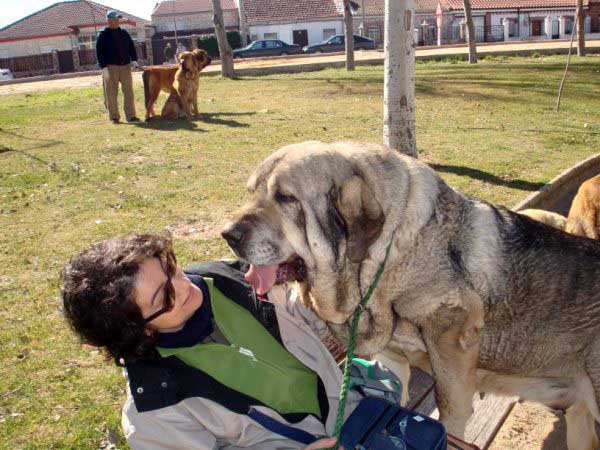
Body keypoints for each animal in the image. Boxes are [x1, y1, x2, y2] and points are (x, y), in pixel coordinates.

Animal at [223, 142, 600, 450]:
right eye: (251, 193)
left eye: (286, 198)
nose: (228, 234)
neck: (385, 257)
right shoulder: (392, 355)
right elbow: (397, 393)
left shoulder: (453, 338)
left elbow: (450, 411)